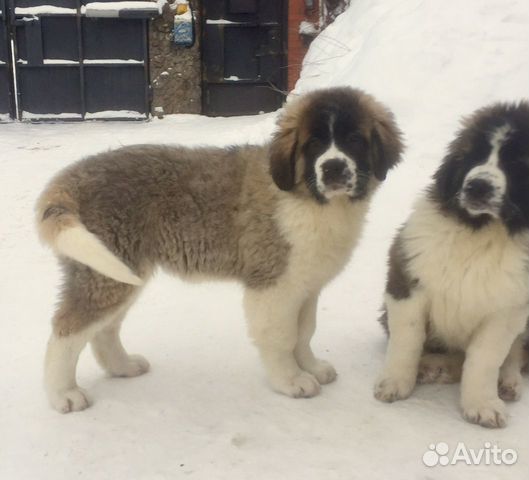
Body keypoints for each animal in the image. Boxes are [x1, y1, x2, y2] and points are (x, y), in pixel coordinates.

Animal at [36, 87, 400, 412]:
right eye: (313, 145)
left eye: (354, 140)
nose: (334, 168)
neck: (310, 199)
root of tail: (71, 178)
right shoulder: (273, 284)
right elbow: (281, 337)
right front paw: (291, 380)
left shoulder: (306, 286)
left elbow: (304, 333)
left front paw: (310, 366)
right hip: (104, 274)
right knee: (65, 332)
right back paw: (63, 395)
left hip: (121, 272)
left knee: (104, 329)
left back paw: (123, 367)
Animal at [374, 101, 528, 428]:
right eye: (474, 156)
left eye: (518, 163)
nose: (478, 186)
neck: (481, 234)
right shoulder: (409, 282)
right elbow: (407, 340)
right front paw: (394, 382)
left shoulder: (508, 310)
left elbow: (485, 358)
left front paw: (482, 404)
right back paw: (432, 366)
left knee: (516, 353)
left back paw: (507, 383)